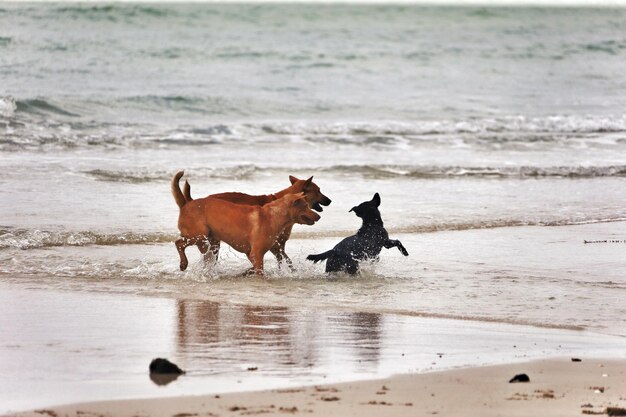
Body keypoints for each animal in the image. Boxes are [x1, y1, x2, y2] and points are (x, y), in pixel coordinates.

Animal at [173, 171, 322, 272]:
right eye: (318, 191)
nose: (319, 217)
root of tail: (187, 203)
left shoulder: (269, 249)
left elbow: (285, 261)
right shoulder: (266, 250)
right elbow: (282, 262)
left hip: (209, 243)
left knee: (206, 258)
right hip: (199, 235)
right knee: (179, 243)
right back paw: (184, 264)